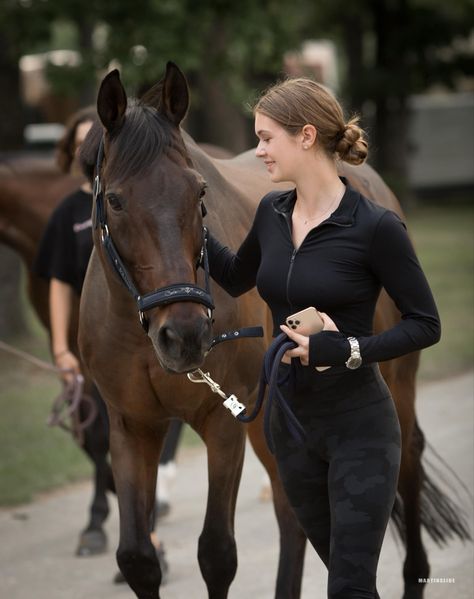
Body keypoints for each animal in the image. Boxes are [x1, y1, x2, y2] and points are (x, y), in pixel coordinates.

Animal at [77, 62, 466, 599]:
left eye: (199, 192)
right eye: (114, 200)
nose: (185, 336)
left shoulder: (223, 421)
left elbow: (217, 553)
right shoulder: (132, 426)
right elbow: (138, 558)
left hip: (394, 384)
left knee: (405, 461)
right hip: (271, 420)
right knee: (291, 507)